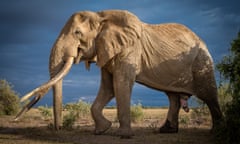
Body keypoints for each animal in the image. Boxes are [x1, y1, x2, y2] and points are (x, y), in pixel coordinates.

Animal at [15, 9, 223, 138]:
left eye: (77, 33)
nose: (58, 129)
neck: (101, 16)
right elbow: (109, 88)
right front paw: (102, 130)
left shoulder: (130, 48)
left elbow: (120, 84)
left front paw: (124, 136)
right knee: (172, 97)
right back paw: (166, 131)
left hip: (202, 60)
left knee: (209, 94)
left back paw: (216, 132)